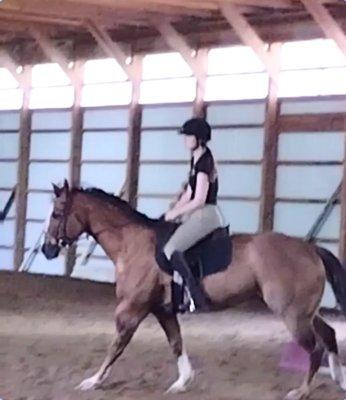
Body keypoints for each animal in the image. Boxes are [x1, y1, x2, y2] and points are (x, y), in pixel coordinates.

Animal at [42, 181, 346, 400]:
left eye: (56, 214)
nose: (46, 250)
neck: (131, 242)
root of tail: (310, 248)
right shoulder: (162, 309)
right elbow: (176, 343)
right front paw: (182, 381)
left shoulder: (131, 309)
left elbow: (116, 346)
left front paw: (93, 380)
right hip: (304, 311)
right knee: (329, 334)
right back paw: (339, 379)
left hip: (292, 314)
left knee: (315, 348)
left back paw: (302, 391)